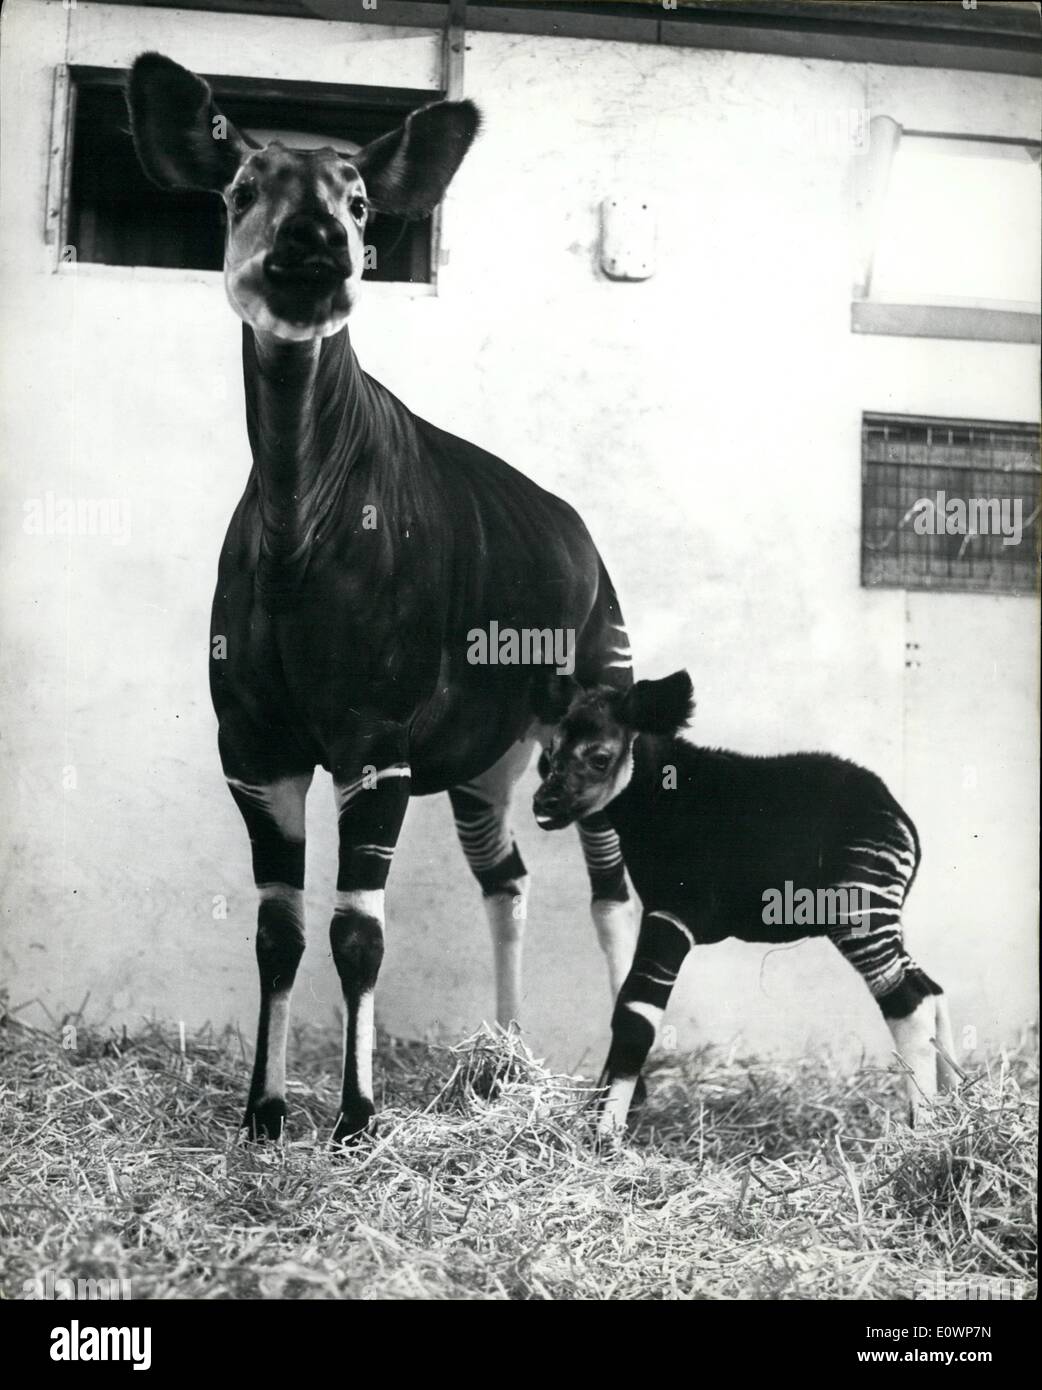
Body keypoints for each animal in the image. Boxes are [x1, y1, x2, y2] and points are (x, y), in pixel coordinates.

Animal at [533, 672, 961, 1139]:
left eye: (599, 757)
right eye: (549, 754)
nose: (542, 805)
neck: (659, 800)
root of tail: (902, 820)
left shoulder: (673, 911)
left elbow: (635, 1015)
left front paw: (604, 1133)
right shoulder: (666, 913)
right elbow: (629, 1008)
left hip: (858, 910)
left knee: (909, 1002)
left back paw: (924, 1127)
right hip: (875, 912)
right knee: (930, 989)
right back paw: (959, 1104)